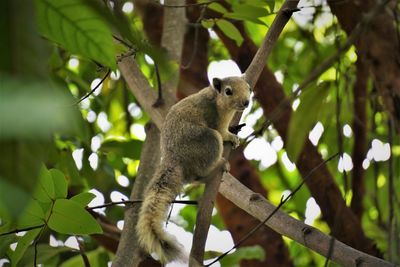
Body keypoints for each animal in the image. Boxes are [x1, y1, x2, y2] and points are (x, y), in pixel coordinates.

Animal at [136, 76, 252, 264]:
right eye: (228, 91)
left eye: (249, 88)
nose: (246, 102)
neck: (216, 99)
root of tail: (172, 159)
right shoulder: (215, 118)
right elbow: (222, 132)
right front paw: (232, 136)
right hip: (208, 141)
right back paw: (219, 166)